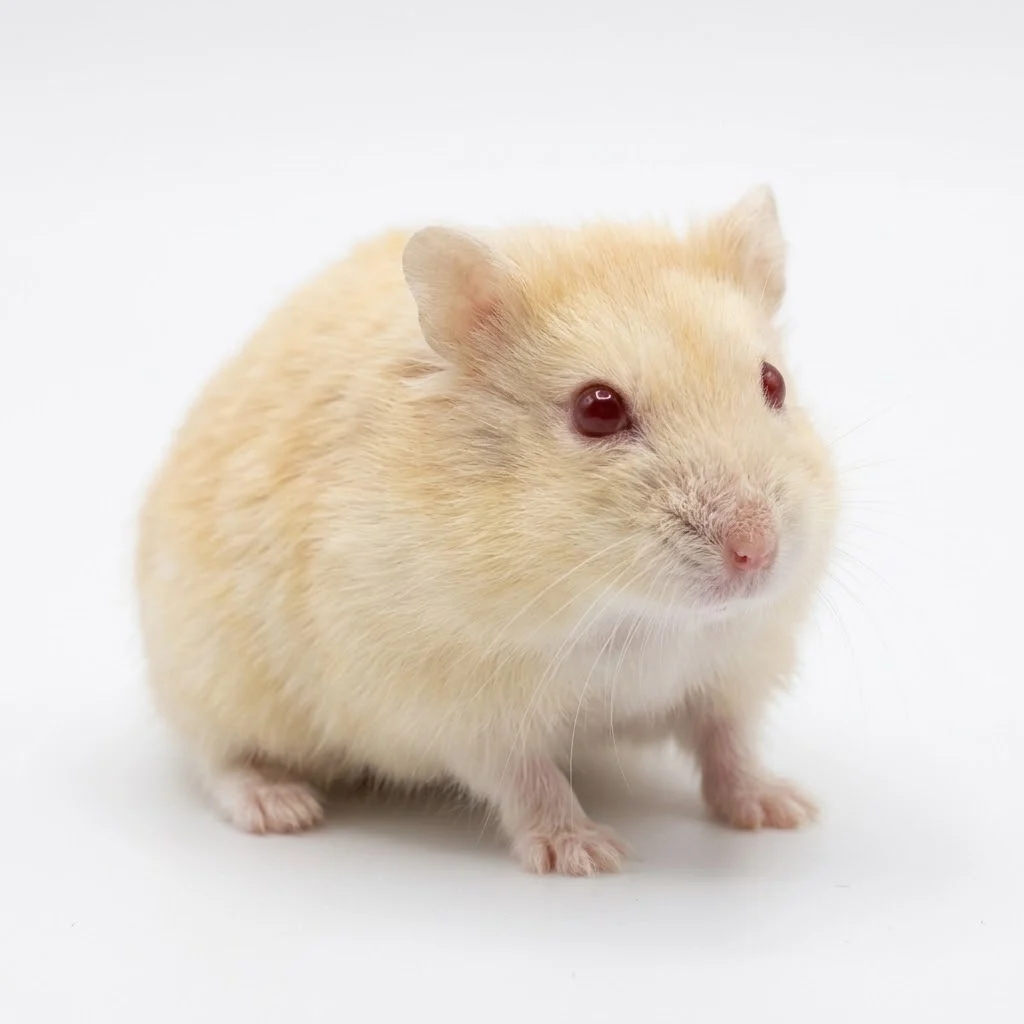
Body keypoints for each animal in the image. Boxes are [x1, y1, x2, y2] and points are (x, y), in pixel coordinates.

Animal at [136, 186, 837, 875]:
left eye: (773, 382)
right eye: (598, 410)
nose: (757, 553)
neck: (634, 615)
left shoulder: (732, 668)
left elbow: (729, 744)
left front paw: (785, 810)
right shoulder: (462, 708)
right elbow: (530, 781)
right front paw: (588, 855)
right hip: (206, 673)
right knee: (217, 756)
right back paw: (281, 807)